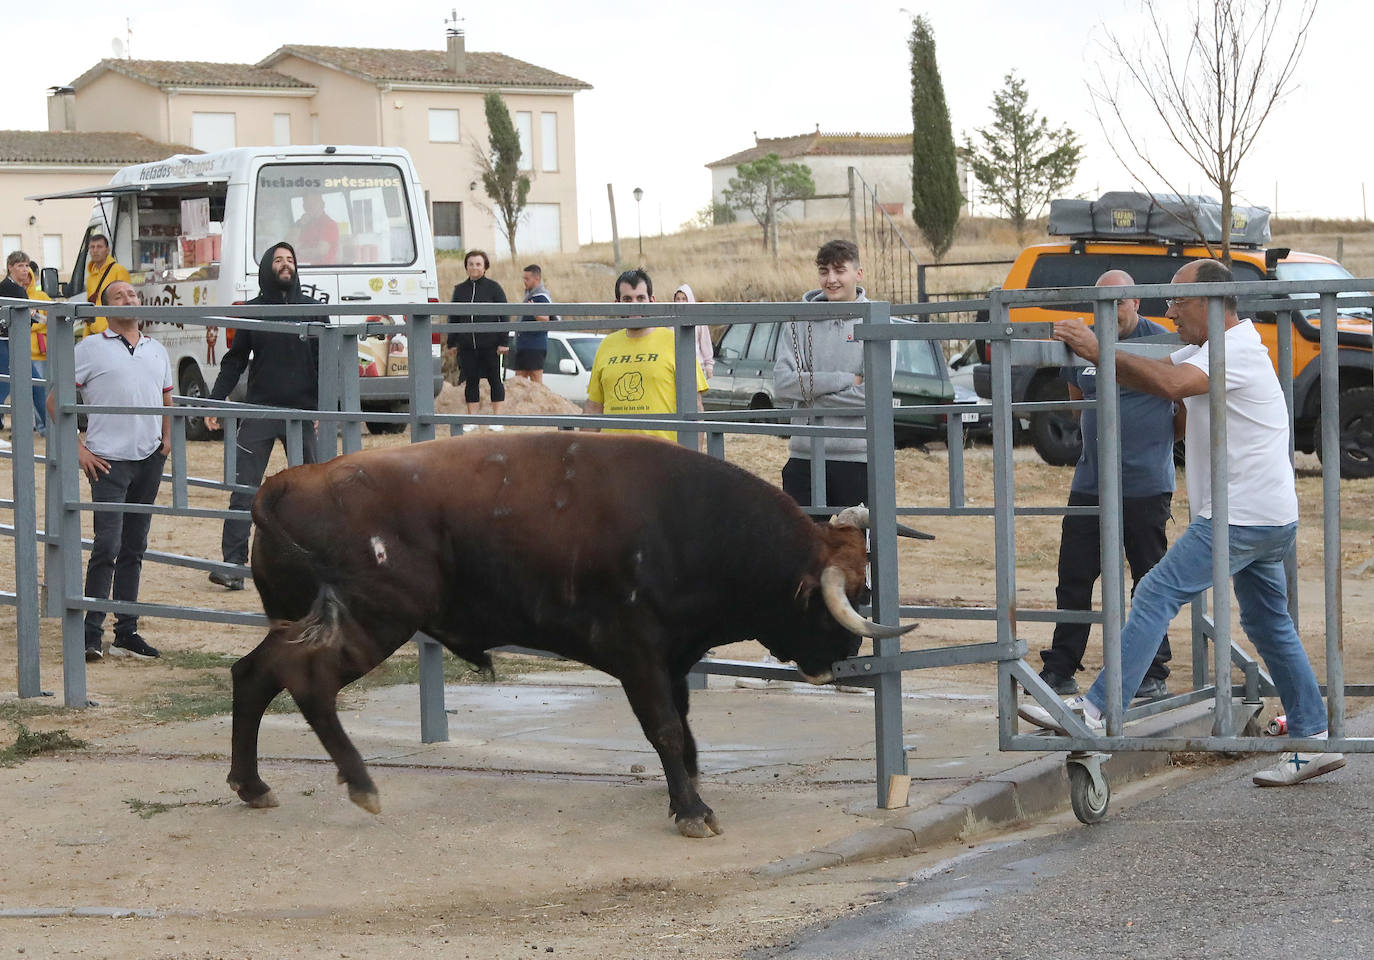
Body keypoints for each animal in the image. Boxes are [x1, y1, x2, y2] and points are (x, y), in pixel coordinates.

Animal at [225, 431, 912, 835]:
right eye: (849, 598)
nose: (846, 657)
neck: (685, 522)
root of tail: (290, 481)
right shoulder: (639, 654)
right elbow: (666, 728)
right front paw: (692, 810)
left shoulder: (673, 657)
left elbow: (684, 730)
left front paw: (684, 792)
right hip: (373, 621)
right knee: (307, 683)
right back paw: (362, 785)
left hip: (306, 621)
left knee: (253, 673)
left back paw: (252, 784)